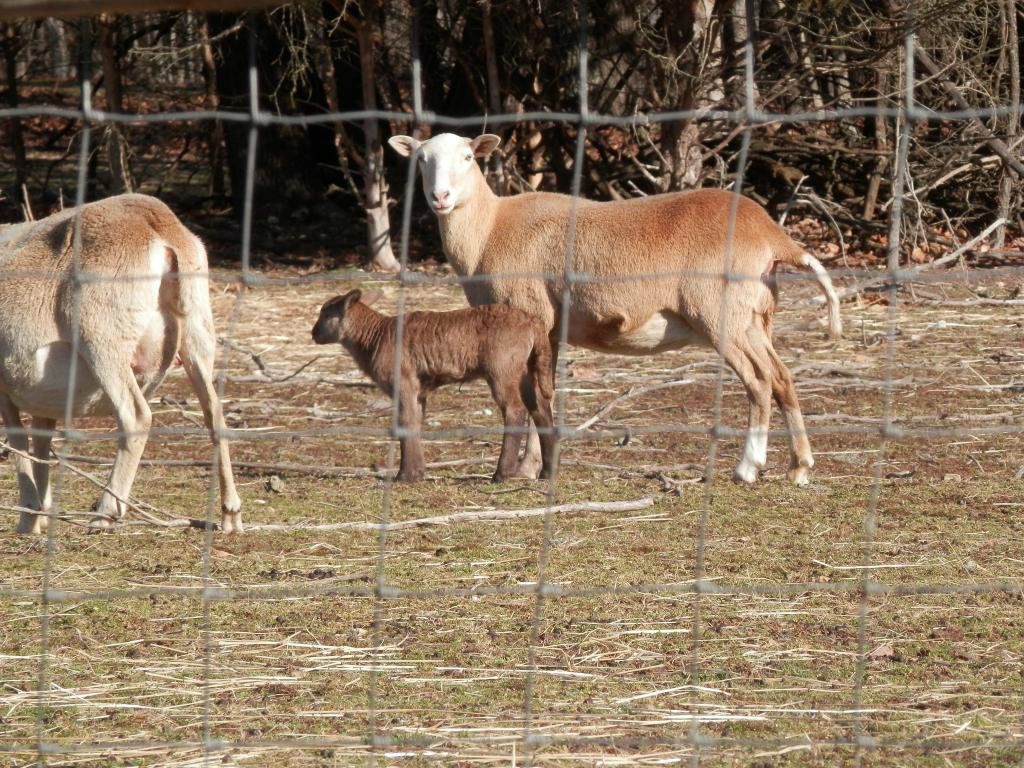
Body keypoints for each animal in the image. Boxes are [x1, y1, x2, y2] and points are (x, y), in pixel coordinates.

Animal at [0, 194, 242, 533]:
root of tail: (158, 225)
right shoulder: (40, 398)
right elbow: (40, 447)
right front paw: (41, 517)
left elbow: (19, 442)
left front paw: (28, 519)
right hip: (198, 330)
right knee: (215, 414)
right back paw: (230, 514)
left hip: (103, 338)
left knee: (136, 416)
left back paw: (105, 512)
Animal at [311, 289, 556, 482]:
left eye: (325, 313)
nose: (313, 334)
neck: (373, 337)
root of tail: (534, 323)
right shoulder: (419, 391)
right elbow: (416, 422)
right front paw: (418, 472)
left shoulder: (404, 382)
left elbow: (405, 422)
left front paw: (405, 476)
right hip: (528, 368)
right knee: (541, 409)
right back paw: (547, 472)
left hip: (502, 368)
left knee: (516, 410)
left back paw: (502, 474)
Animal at [388, 132, 842, 486]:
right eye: (422, 159)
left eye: (468, 157)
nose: (440, 197)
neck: (488, 230)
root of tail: (772, 235)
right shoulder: (547, 329)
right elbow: (542, 392)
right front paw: (534, 466)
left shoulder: (530, 312)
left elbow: (535, 394)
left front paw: (529, 468)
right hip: (756, 317)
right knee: (782, 377)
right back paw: (800, 466)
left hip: (721, 314)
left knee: (759, 381)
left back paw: (747, 467)